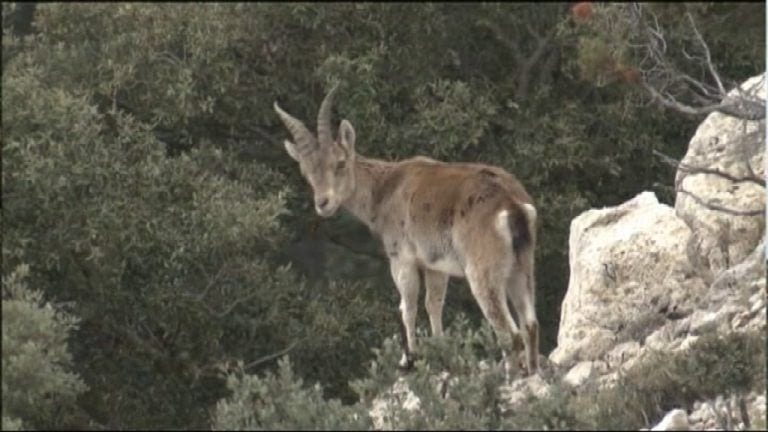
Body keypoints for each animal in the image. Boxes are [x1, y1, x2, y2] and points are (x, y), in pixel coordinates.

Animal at [276, 83, 540, 374]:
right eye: (306, 172)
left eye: (340, 163)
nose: (323, 203)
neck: (384, 188)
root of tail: (511, 205)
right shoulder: (436, 265)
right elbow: (433, 303)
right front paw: (442, 352)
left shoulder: (401, 257)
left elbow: (408, 305)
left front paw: (409, 359)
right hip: (522, 266)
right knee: (530, 324)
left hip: (482, 271)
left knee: (509, 333)